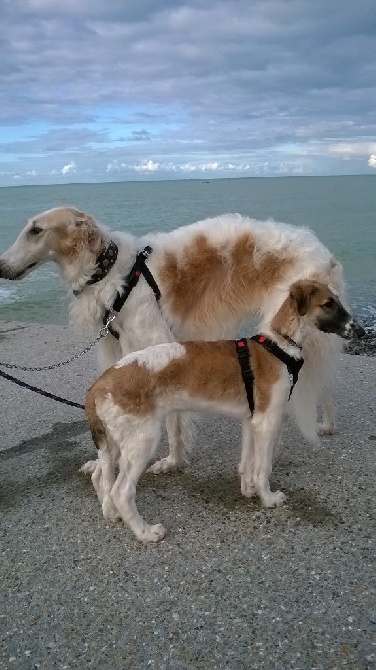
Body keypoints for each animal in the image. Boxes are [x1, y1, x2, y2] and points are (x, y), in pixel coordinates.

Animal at [86, 280, 364, 544]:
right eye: (328, 304)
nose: (360, 331)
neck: (279, 346)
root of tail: (101, 383)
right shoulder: (267, 422)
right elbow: (263, 467)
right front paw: (268, 498)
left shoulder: (251, 421)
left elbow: (248, 463)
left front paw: (249, 489)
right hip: (142, 441)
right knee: (121, 491)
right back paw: (144, 532)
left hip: (115, 442)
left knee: (101, 475)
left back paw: (112, 514)